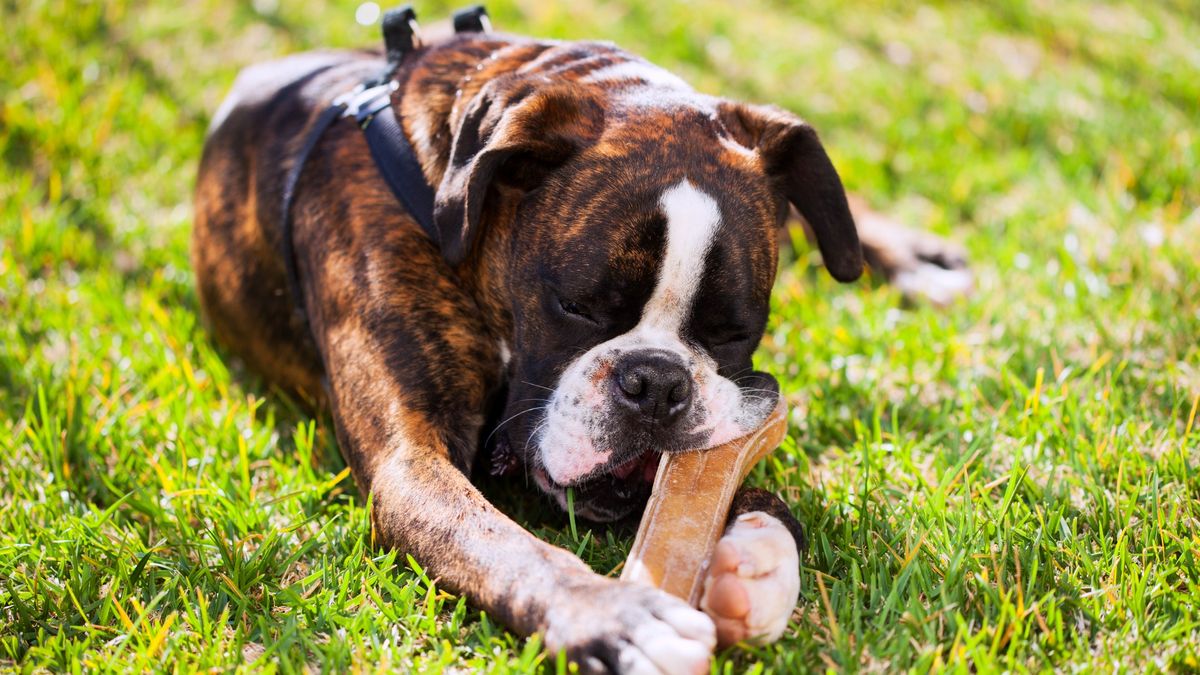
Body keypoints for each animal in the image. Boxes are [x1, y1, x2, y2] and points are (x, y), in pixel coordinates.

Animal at [192, 17, 969, 672]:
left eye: (734, 330)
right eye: (576, 306)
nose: (656, 383)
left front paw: (756, 556)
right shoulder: (411, 463)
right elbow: (508, 547)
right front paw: (616, 615)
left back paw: (911, 255)